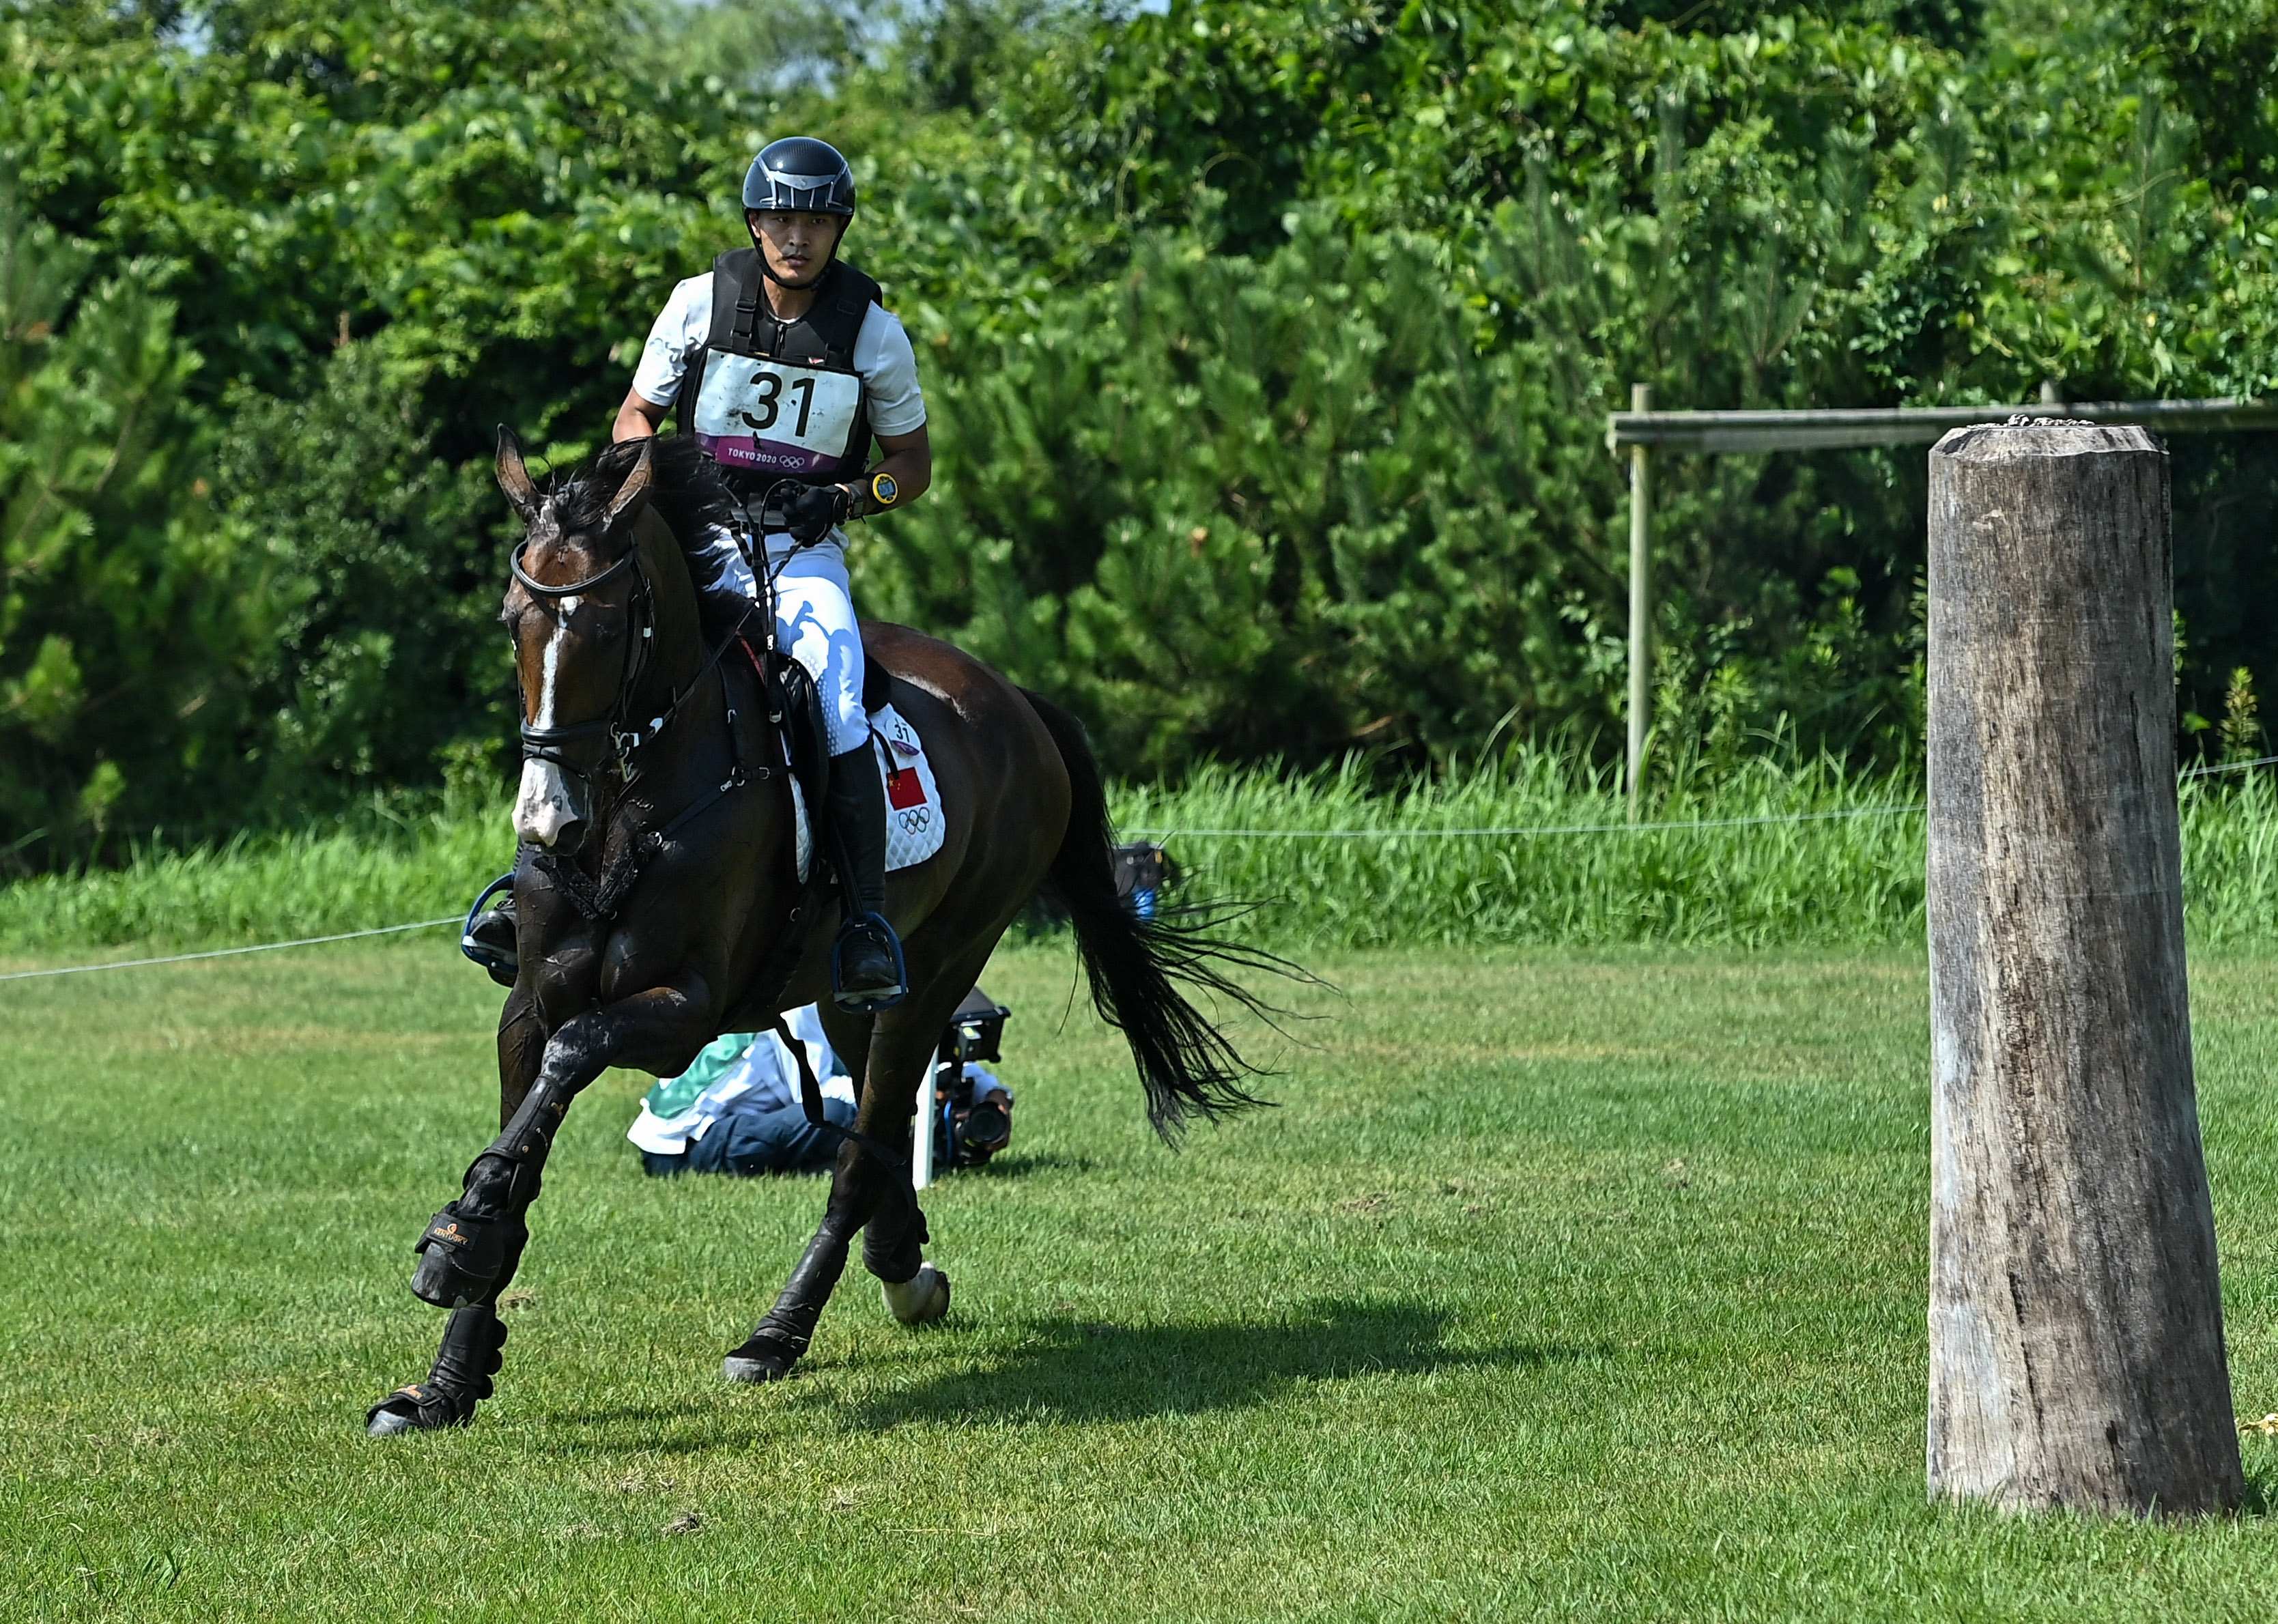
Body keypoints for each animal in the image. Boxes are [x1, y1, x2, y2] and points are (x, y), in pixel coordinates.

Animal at [364, 430, 1275, 1430]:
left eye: (607, 629)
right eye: (512, 621)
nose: (546, 822)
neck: (629, 807)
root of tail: (1014, 700)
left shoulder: (684, 1008)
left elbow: (571, 1058)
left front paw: (458, 1241)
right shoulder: (529, 1000)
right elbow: (526, 1120)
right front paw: (449, 1368)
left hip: (939, 970)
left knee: (863, 1139)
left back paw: (780, 1331)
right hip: (845, 997)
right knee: (879, 1123)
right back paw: (902, 1262)